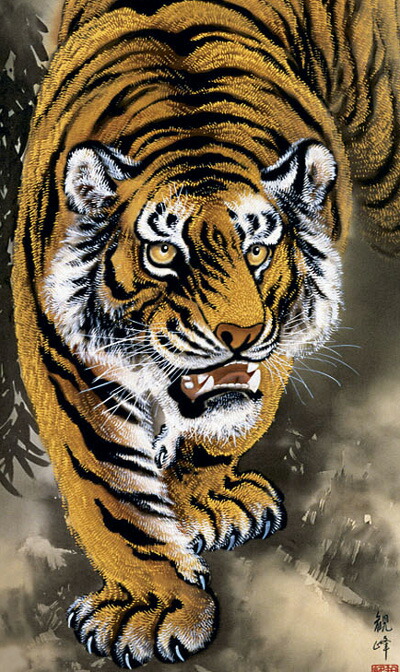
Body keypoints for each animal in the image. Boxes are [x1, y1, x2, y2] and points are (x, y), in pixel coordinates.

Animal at [11, 0, 400, 667]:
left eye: (258, 250)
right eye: (165, 251)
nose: (240, 332)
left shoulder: (271, 349)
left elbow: (233, 420)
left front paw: (202, 500)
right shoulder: (63, 353)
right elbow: (110, 489)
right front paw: (154, 607)